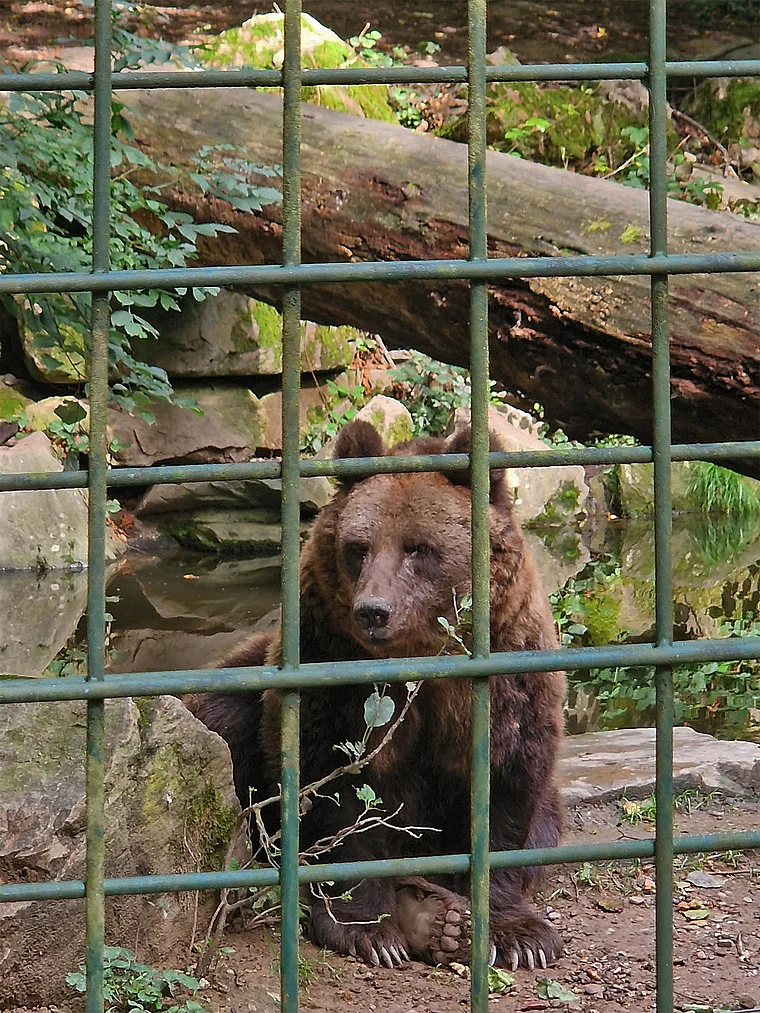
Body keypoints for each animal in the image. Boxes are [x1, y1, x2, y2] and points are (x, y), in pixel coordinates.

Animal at [188, 420, 565, 972]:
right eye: (359, 546)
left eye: (418, 547)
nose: (373, 610)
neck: (425, 663)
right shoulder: (335, 672)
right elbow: (338, 794)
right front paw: (372, 931)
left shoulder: (509, 678)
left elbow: (507, 787)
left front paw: (520, 935)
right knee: (226, 734)